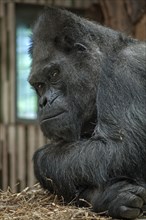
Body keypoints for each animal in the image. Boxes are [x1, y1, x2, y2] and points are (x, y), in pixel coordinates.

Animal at [28, 6, 146, 218]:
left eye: (54, 74)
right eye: (39, 85)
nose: (43, 102)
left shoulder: (124, 68)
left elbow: (121, 148)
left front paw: (41, 160)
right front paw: (108, 198)